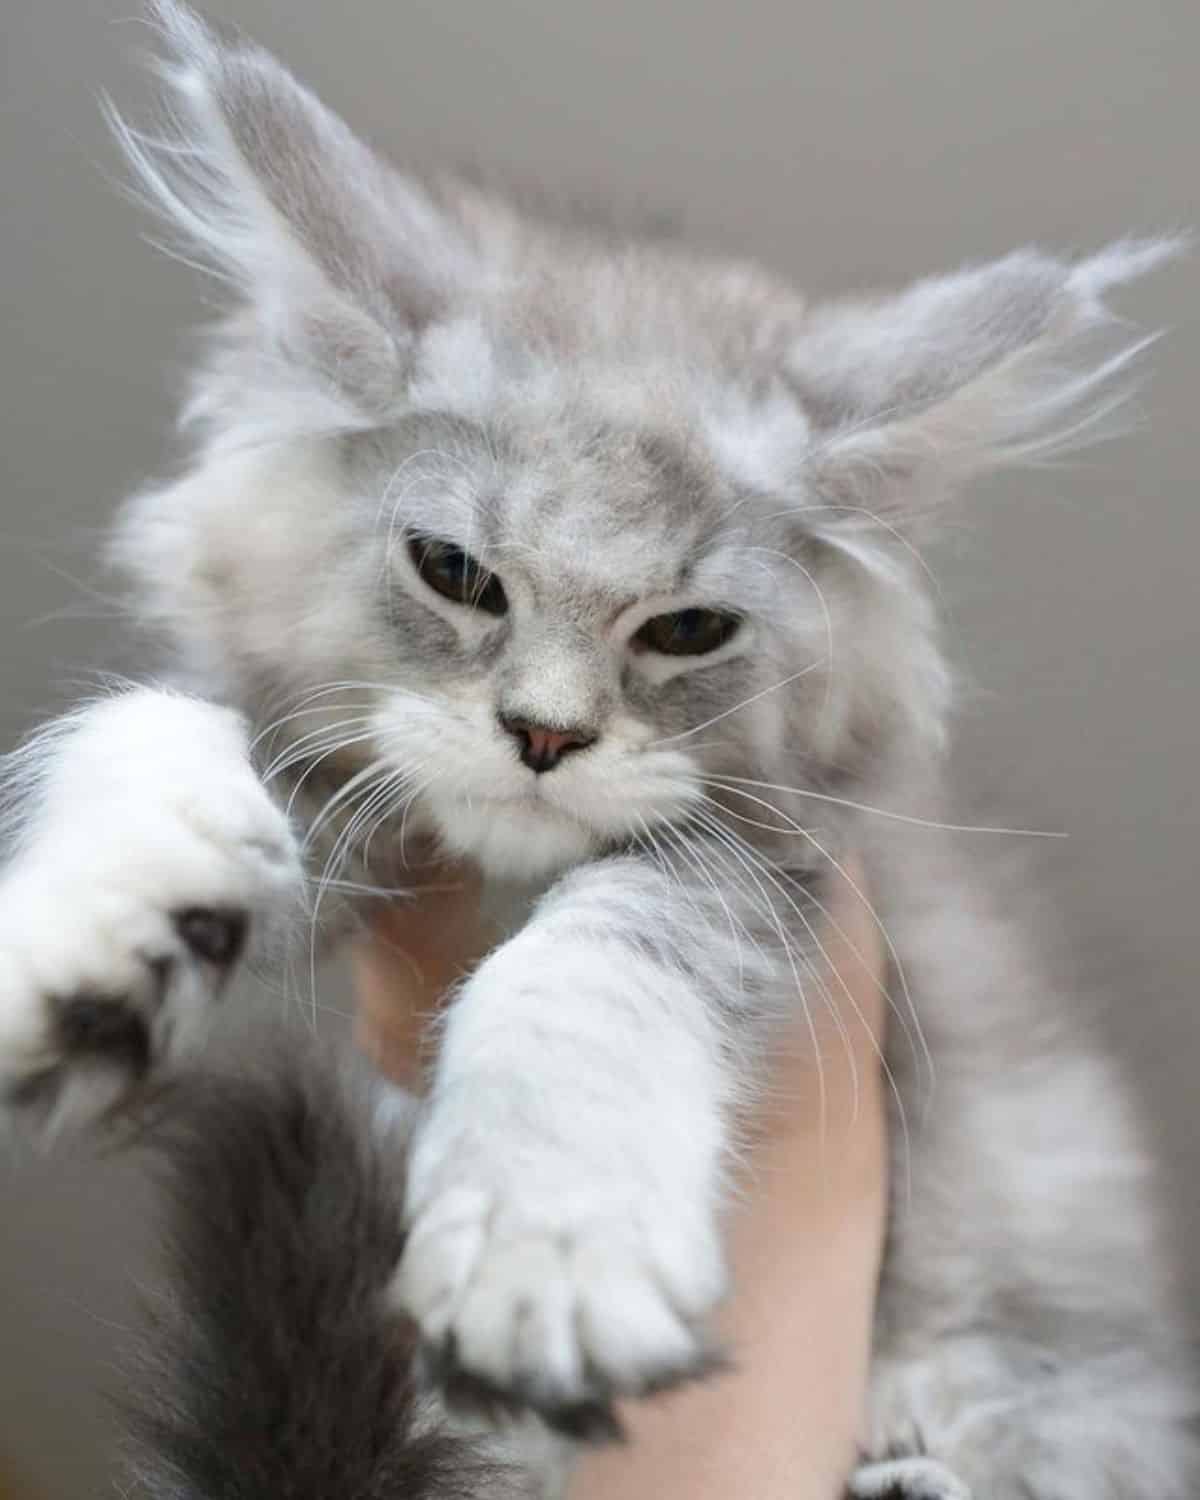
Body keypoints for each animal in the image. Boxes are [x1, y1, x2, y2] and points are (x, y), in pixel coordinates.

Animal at [2, 2, 1200, 1500]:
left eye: (687, 629)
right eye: (456, 572)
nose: (544, 734)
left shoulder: (760, 864)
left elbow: (583, 970)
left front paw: (546, 1254)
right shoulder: (330, 771)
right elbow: (148, 725)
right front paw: (98, 932)